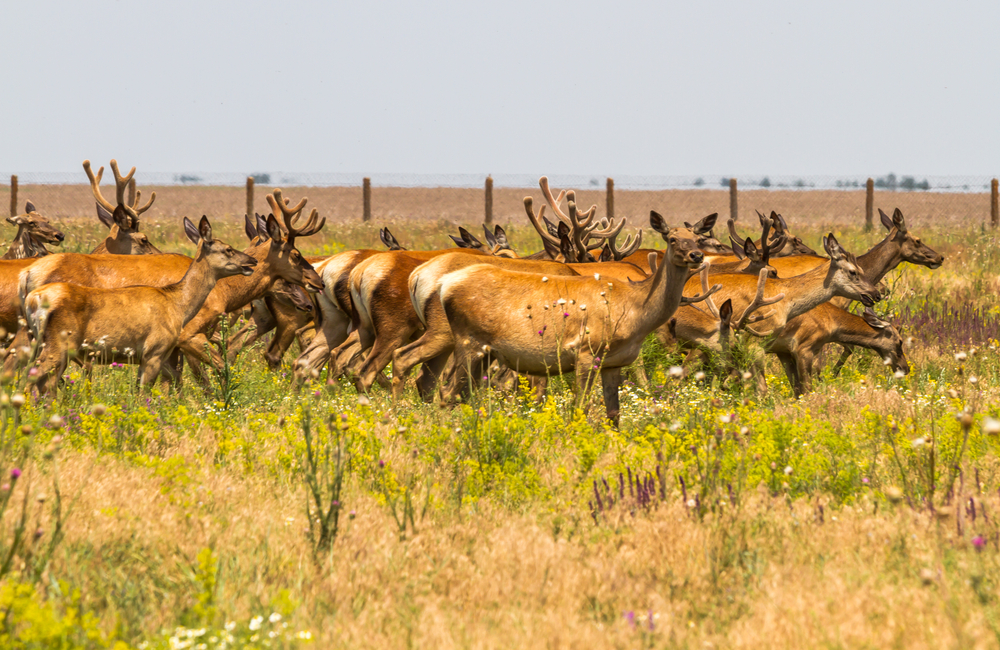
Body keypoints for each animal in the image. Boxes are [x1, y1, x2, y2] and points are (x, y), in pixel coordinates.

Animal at [26, 216, 256, 390]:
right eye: (228, 249)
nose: (251, 261)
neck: (179, 306)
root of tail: (32, 299)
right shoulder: (154, 351)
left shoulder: (155, 357)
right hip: (58, 345)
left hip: (41, 343)